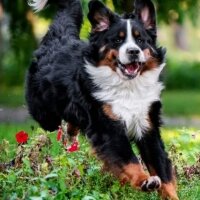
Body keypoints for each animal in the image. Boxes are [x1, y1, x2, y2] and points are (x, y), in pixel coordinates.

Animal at [26, 0, 178, 199]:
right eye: (118, 40)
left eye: (140, 40)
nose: (133, 51)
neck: (127, 87)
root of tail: (59, 36)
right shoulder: (107, 127)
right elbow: (130, 160)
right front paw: (144, 181)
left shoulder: (147, 126)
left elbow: (161, 167)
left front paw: (170, 195)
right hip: (45, 115)